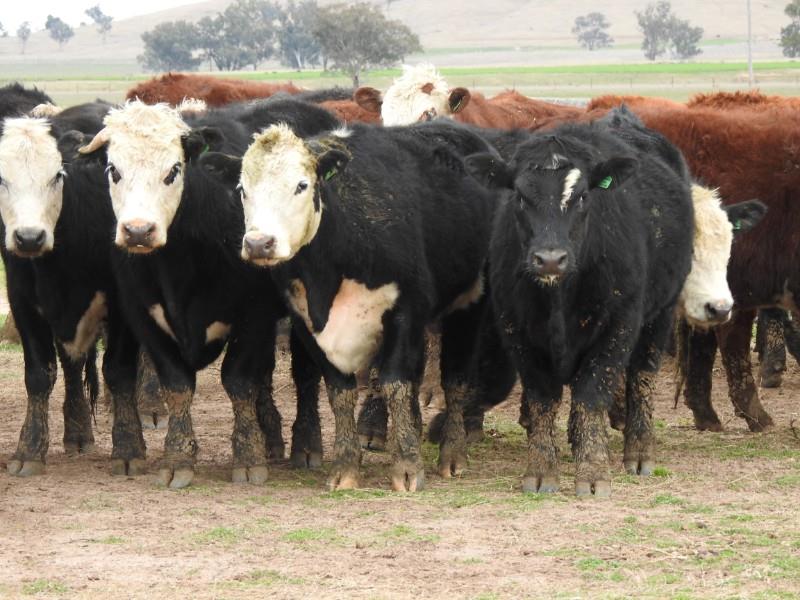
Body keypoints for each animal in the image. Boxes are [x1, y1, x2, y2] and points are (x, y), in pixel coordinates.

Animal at [466, 118, 696, 496]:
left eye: (583, 195)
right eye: (520, 196)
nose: (550, 259)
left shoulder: (618, 326)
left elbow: (592, 394)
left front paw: (592, 472)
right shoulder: (517, 330)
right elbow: (543, 398)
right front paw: (541, 470)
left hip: (659, 315)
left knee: (642, 378)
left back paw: (639, 452)